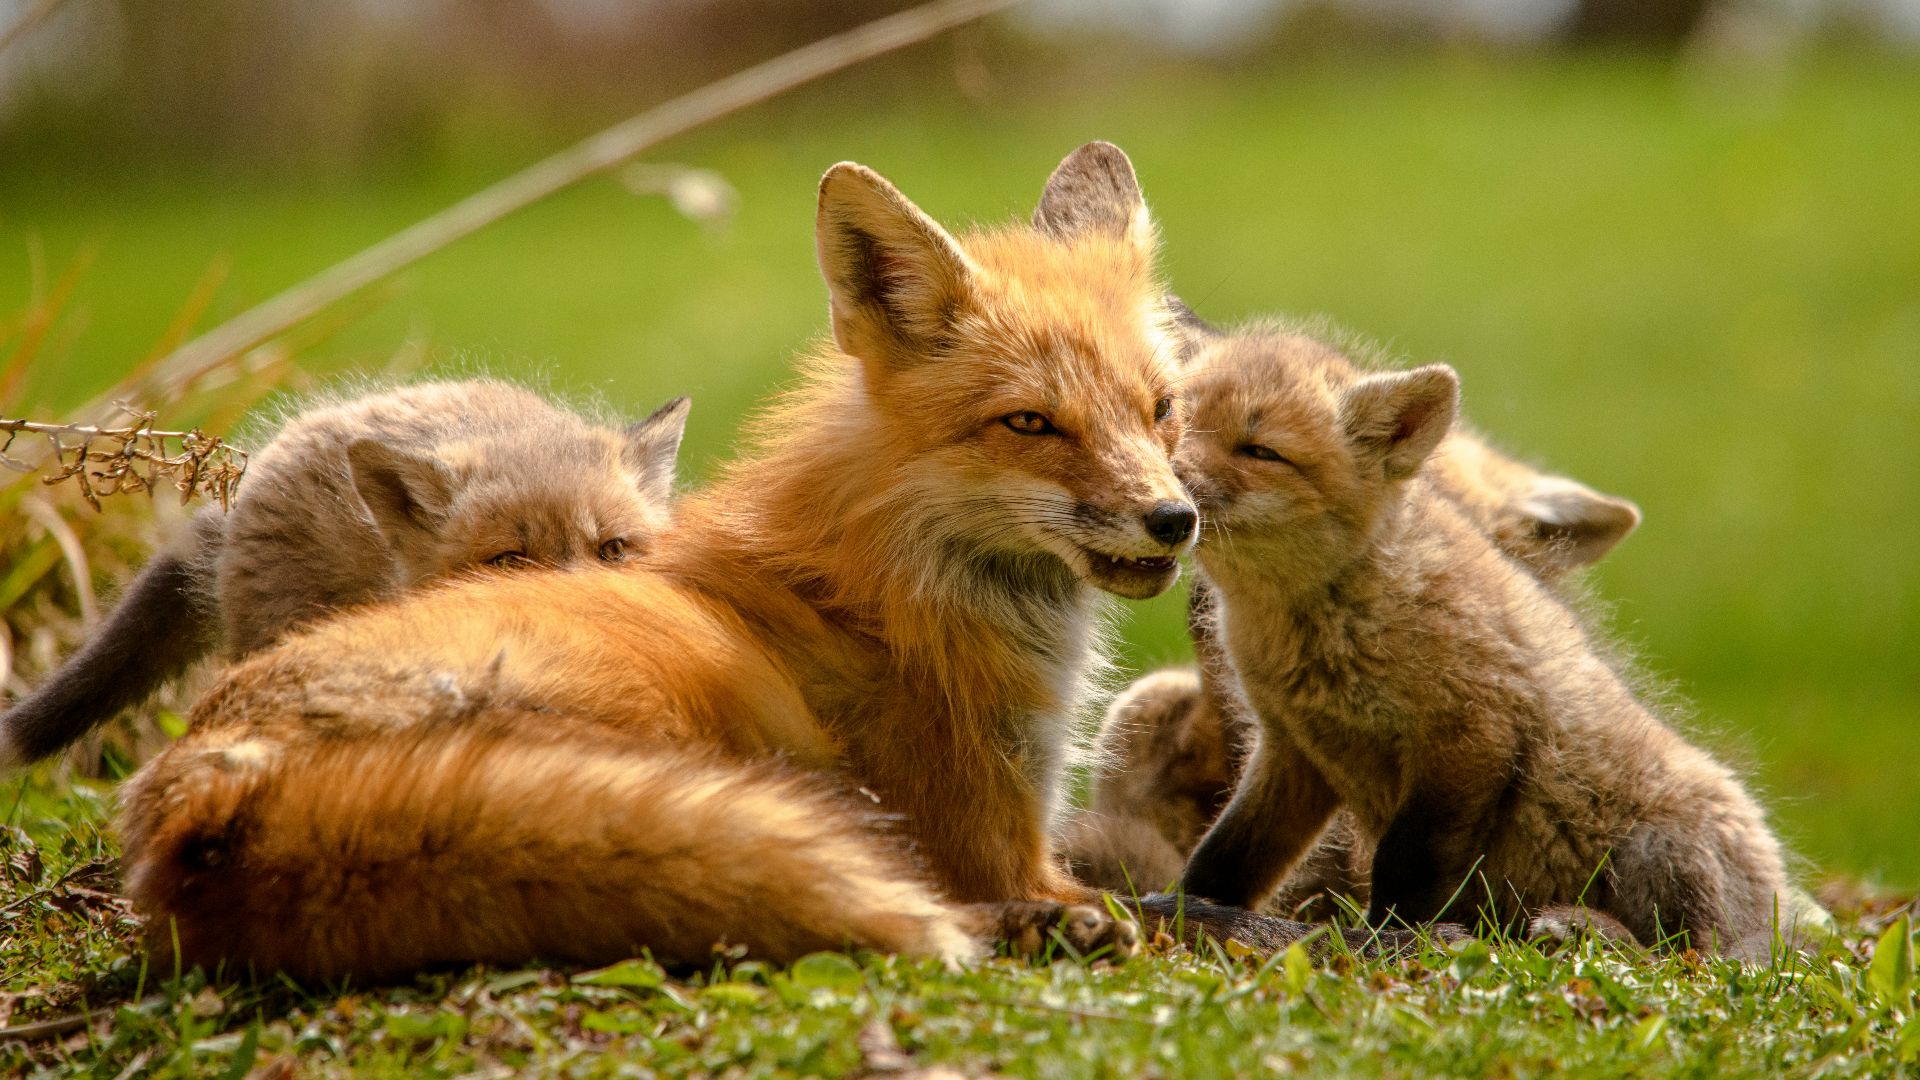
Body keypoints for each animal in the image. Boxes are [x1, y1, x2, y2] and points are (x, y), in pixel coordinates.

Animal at [113, 142, 1409, 982]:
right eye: (1031, 424)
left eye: (1160, 408)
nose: (1172, 519)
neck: (897, 582)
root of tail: (206, 792)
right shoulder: (1003, 842)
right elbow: (1190, 908)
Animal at [1167, 323, 1797, 956]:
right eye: (1172, 421)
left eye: (1259, 451)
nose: (1170, 494)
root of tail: (1781, 907)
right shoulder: (1295, 749)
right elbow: (1226, 856)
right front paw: (1185, 911)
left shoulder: (1471, 736)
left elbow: (1406, 867)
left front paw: (1394, 941)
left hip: (1661, 852)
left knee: (1684, 955)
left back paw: (1580, 927)